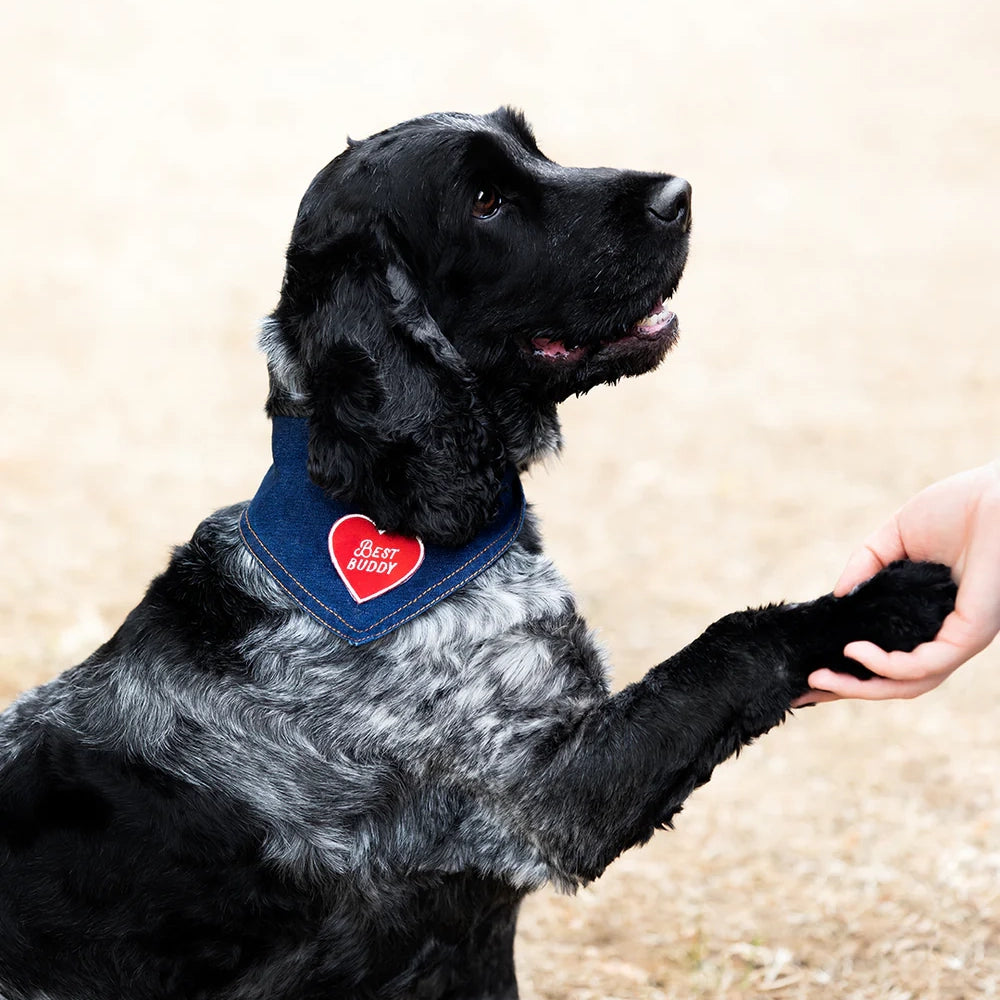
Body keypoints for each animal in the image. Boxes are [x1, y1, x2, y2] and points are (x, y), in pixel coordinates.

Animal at [0, 109, 952, 1000]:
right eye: (486, 201)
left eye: (535, 148)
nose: (679, 195)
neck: (383, 515)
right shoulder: (546, 799)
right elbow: (735, 642)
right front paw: (895, 594)